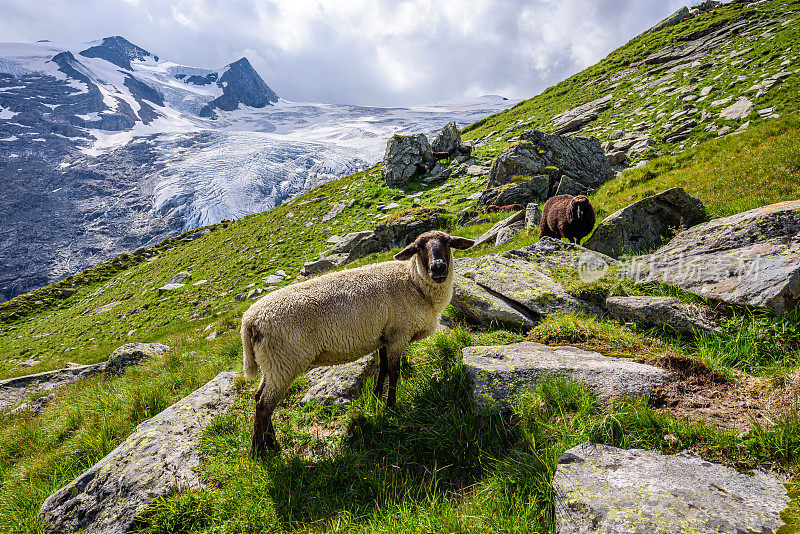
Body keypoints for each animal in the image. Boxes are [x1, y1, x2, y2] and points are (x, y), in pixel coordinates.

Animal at [241, 229, 472, 456]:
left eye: (448, 242)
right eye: (418, 248)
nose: (438, 267)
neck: (414, 284)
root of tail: (250, 320)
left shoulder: (384, 336)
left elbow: (383, 369)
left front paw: (377, 397)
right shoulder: (398, 335)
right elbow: (394, 372)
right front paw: (390, 407)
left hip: (272, 362)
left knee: (258, 397)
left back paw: (272, 444)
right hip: (285, 361)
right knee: (264, 405)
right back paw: (259, 452)